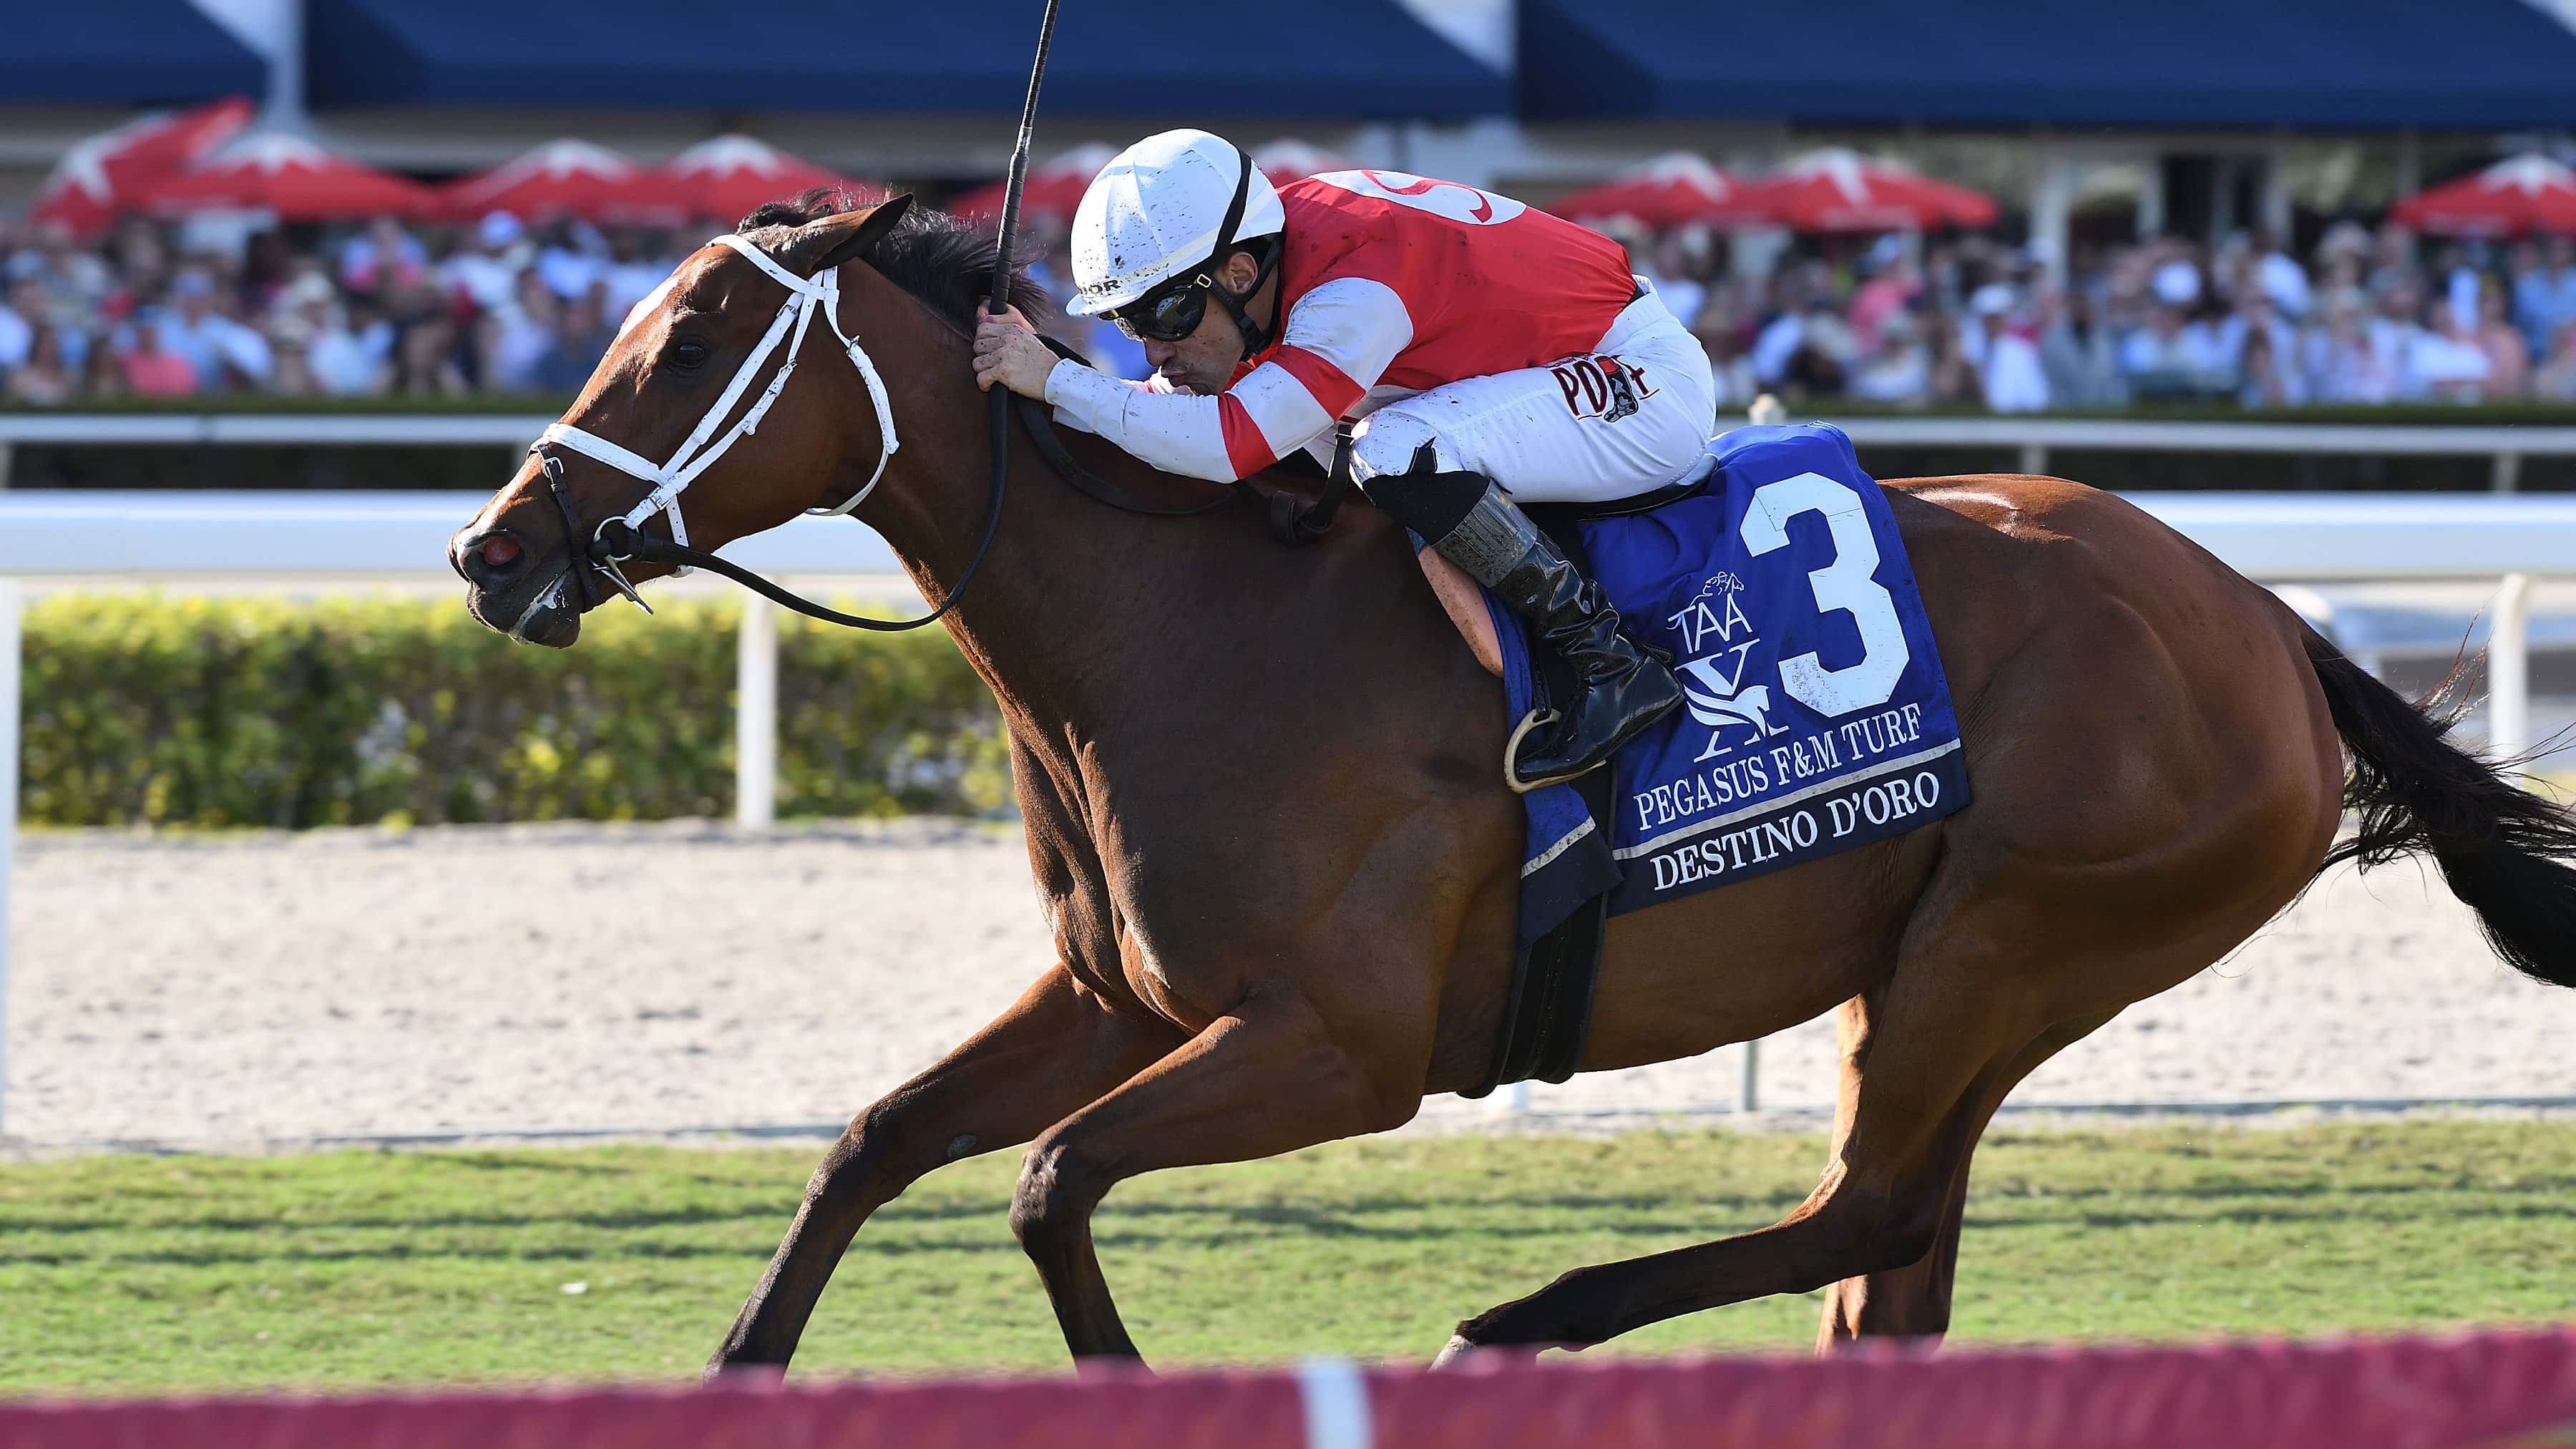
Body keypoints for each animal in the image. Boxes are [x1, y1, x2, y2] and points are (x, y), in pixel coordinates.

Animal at [449, 192, 2576, 1374]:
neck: (1182, 620)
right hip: (1935, 965)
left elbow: (1050, 1187)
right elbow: (877, 1139)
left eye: (692, 342)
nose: (488, 548)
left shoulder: (1339, 1046)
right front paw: (737, 1360)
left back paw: (1518, 1320)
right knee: (1894, 1252)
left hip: (2016, 938)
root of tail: (2268, 623)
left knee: (1870, 1209)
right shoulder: (1116, 994)